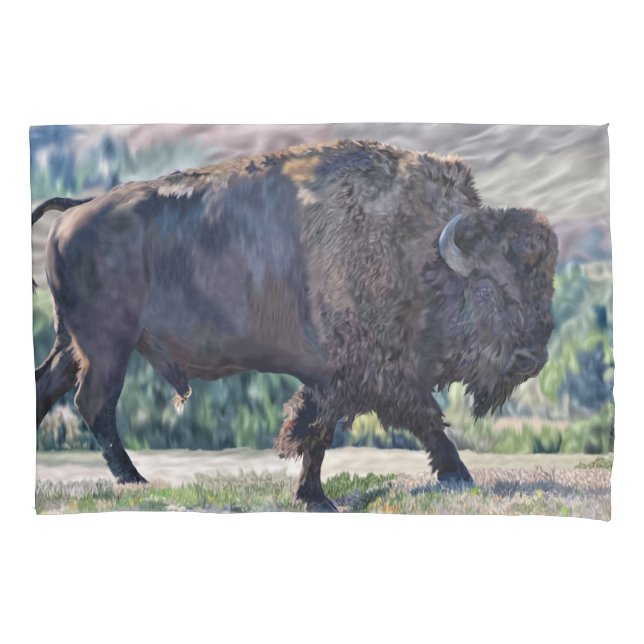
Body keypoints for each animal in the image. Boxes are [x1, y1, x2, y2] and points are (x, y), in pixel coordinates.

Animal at [33, 139, 557, 511]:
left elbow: (320, 431)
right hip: (108, 346)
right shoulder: (359, 371)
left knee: (48, 387)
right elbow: (395, 421)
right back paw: (134, 481)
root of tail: (77, 209)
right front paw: (453, 476)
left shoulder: (340, 376)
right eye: (486, 288)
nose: (531, 359)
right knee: (94, 403)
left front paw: (313, 495)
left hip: (74, 344)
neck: (411, 249)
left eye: (544, 285)